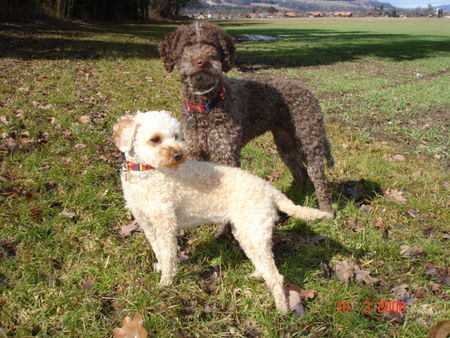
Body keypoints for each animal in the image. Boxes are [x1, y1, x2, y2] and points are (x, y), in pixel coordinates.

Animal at [114, 110, 332, 312]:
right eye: (155, 139)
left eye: (176, 136)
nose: (178, 155)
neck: (146, 172)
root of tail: (271, 190)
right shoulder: (147, 222)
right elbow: (158, 250)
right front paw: (161, 268)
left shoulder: (165, 222)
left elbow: (168, 254)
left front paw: (165, 283)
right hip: (248, 233)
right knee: (264, 261)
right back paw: (256, 275)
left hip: (252, 232)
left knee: (276, 277)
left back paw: (282, 310)